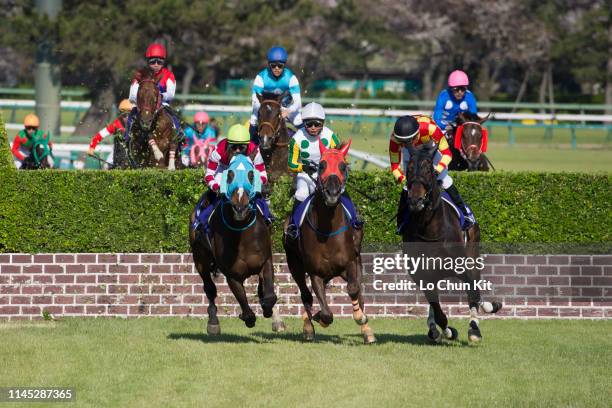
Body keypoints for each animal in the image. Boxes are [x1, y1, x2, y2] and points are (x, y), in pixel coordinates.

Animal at [189, 153, 284, 334]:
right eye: (229, 175)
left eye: (251, 175)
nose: (240, 207)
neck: (242, 235)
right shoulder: (232, 275)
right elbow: (246, 309)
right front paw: (247, 318)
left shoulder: (266, 261)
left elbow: (269, 296)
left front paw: (272, 314)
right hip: (200, 259)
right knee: (209, 289)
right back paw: (213, 322)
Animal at [284, 139, 378, 342]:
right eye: (321, 165)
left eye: (343, 166)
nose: (332, 192)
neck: (328, 233)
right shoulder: (315, 272)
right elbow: (326, 313)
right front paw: (318, 317)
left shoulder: (351, 263)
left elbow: (354, 290)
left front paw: (360, 318)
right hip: (295, 264)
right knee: (306, 295)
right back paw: (308, 325)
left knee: (358, 293)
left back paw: (367, 330)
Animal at [404, 143, 500, 344]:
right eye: (408, 170)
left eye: (428, 170)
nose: (415, 200)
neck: (430, 229)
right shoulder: (422, 275)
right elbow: (438, 309)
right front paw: (446, 330)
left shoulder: (462, 266)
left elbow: (473, 291)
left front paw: (474, 329)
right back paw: (433, 328)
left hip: (472, 251)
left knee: (474, 285)